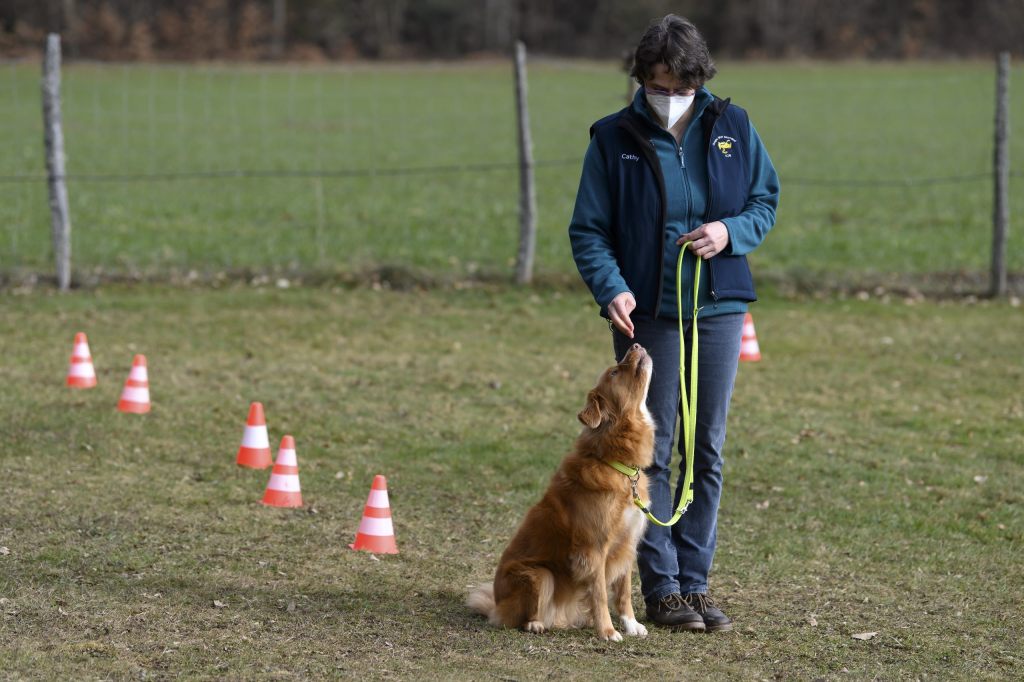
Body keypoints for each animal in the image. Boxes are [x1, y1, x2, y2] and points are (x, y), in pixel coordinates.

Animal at [466, 342, 651, 638]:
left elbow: (623, 591)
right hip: (540, 575)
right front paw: (608, 632)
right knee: (521, 615)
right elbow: (600, 593)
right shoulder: (593, 550)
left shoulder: (628, 544)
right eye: (614, 372)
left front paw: (631, 624)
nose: (634, 344)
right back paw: (536, 623)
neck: (615, 463)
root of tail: (496, 604)